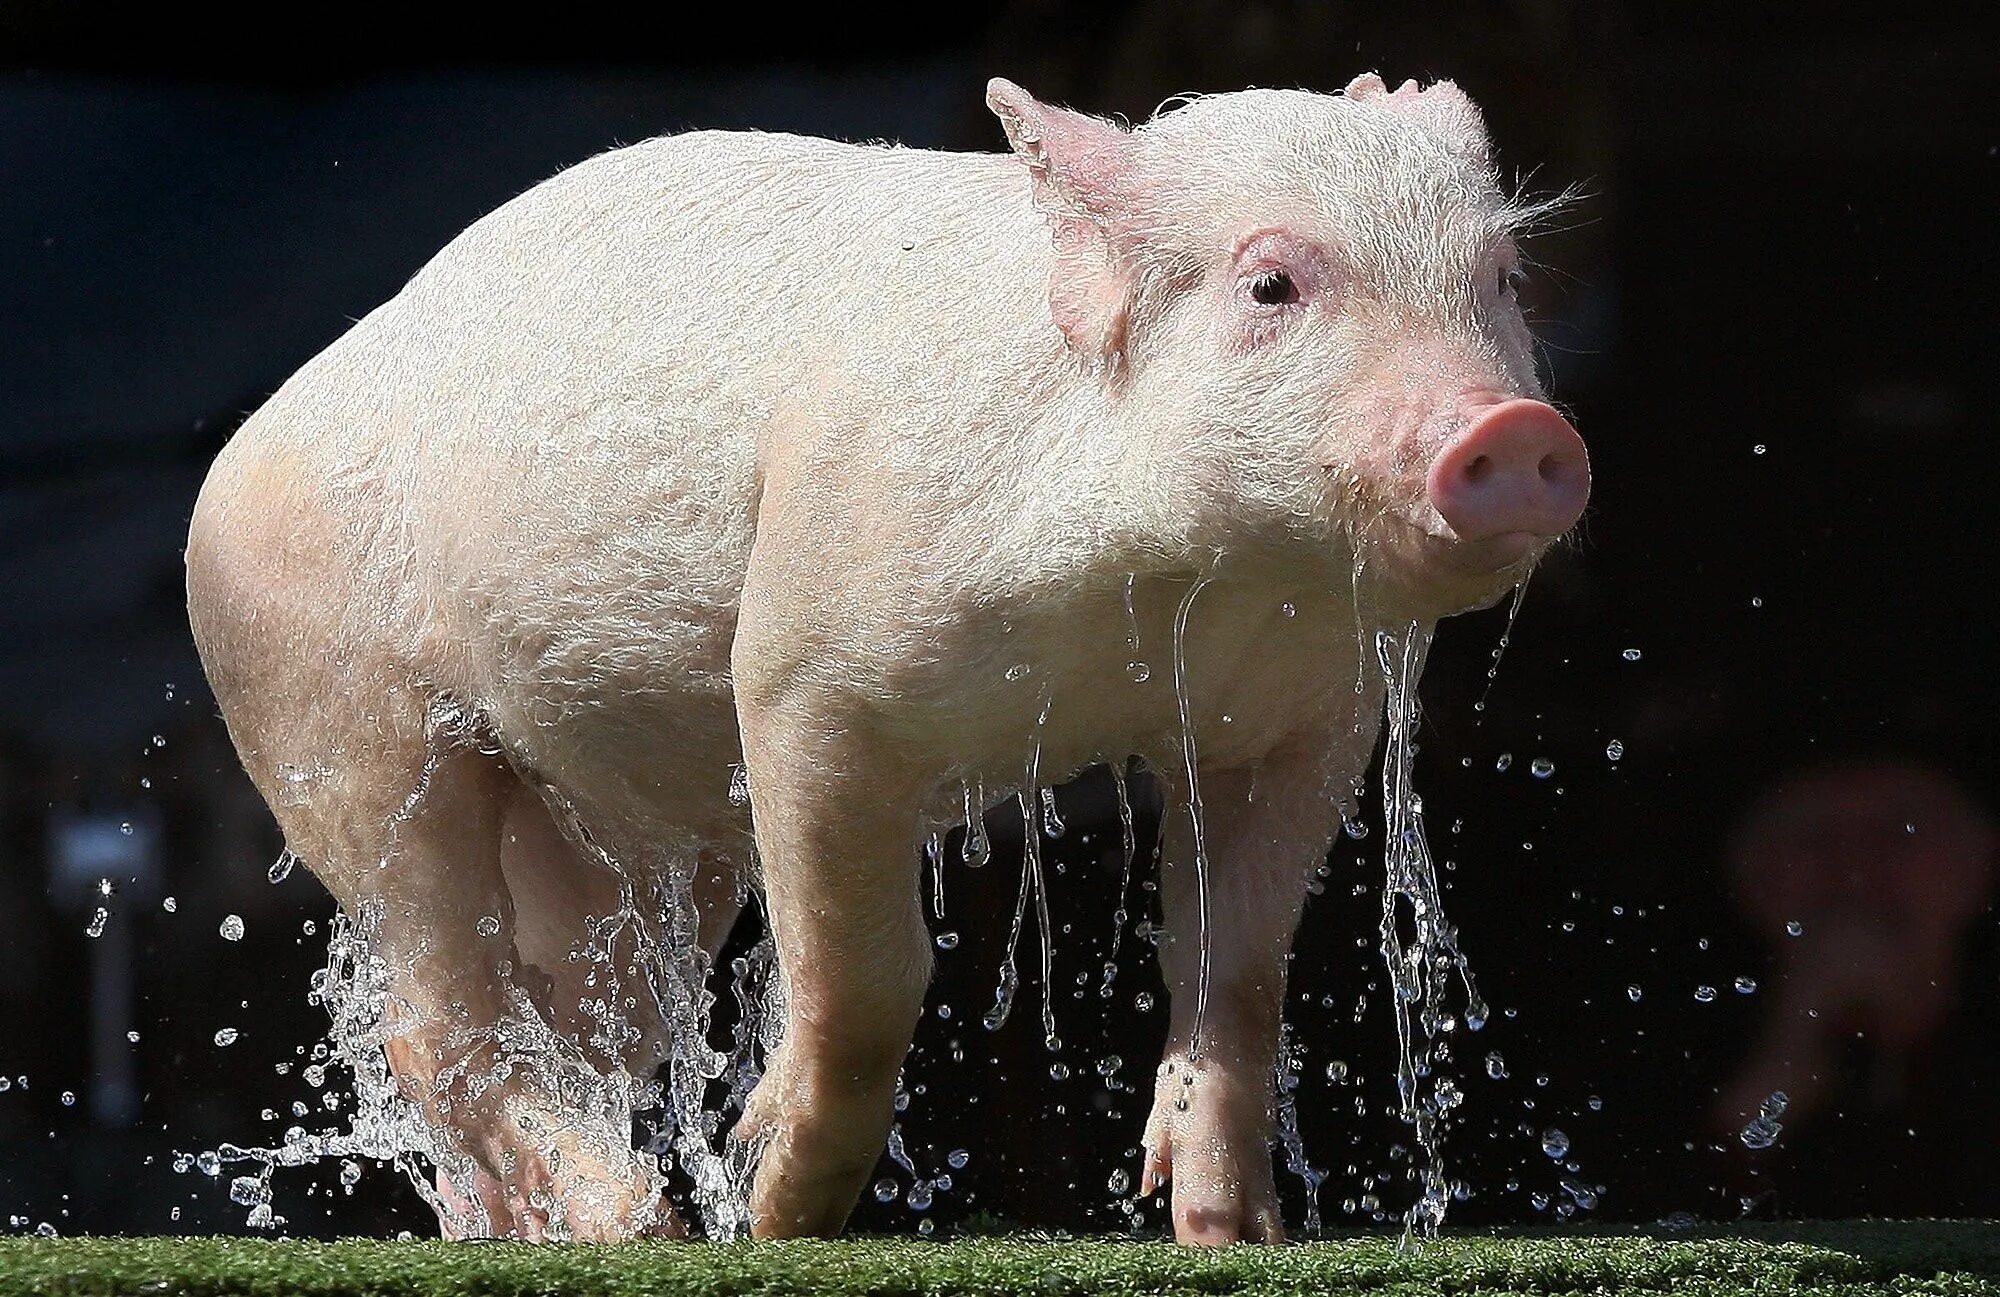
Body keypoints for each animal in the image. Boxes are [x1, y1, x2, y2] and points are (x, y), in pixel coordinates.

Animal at [188, 73, 1592, 1248]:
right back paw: (643, 1228)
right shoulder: (811, 679)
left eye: (1499, 275)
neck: (1158, 612)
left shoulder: (1303, 720)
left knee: (578, 1019)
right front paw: (775, 1215)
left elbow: (1231, 966)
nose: (1516, 430)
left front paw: (1229, 1239)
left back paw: (545, 1229)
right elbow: (866, 976)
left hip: (617, 836)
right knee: (435, 1017)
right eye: (1270, 287)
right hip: (330, 713)